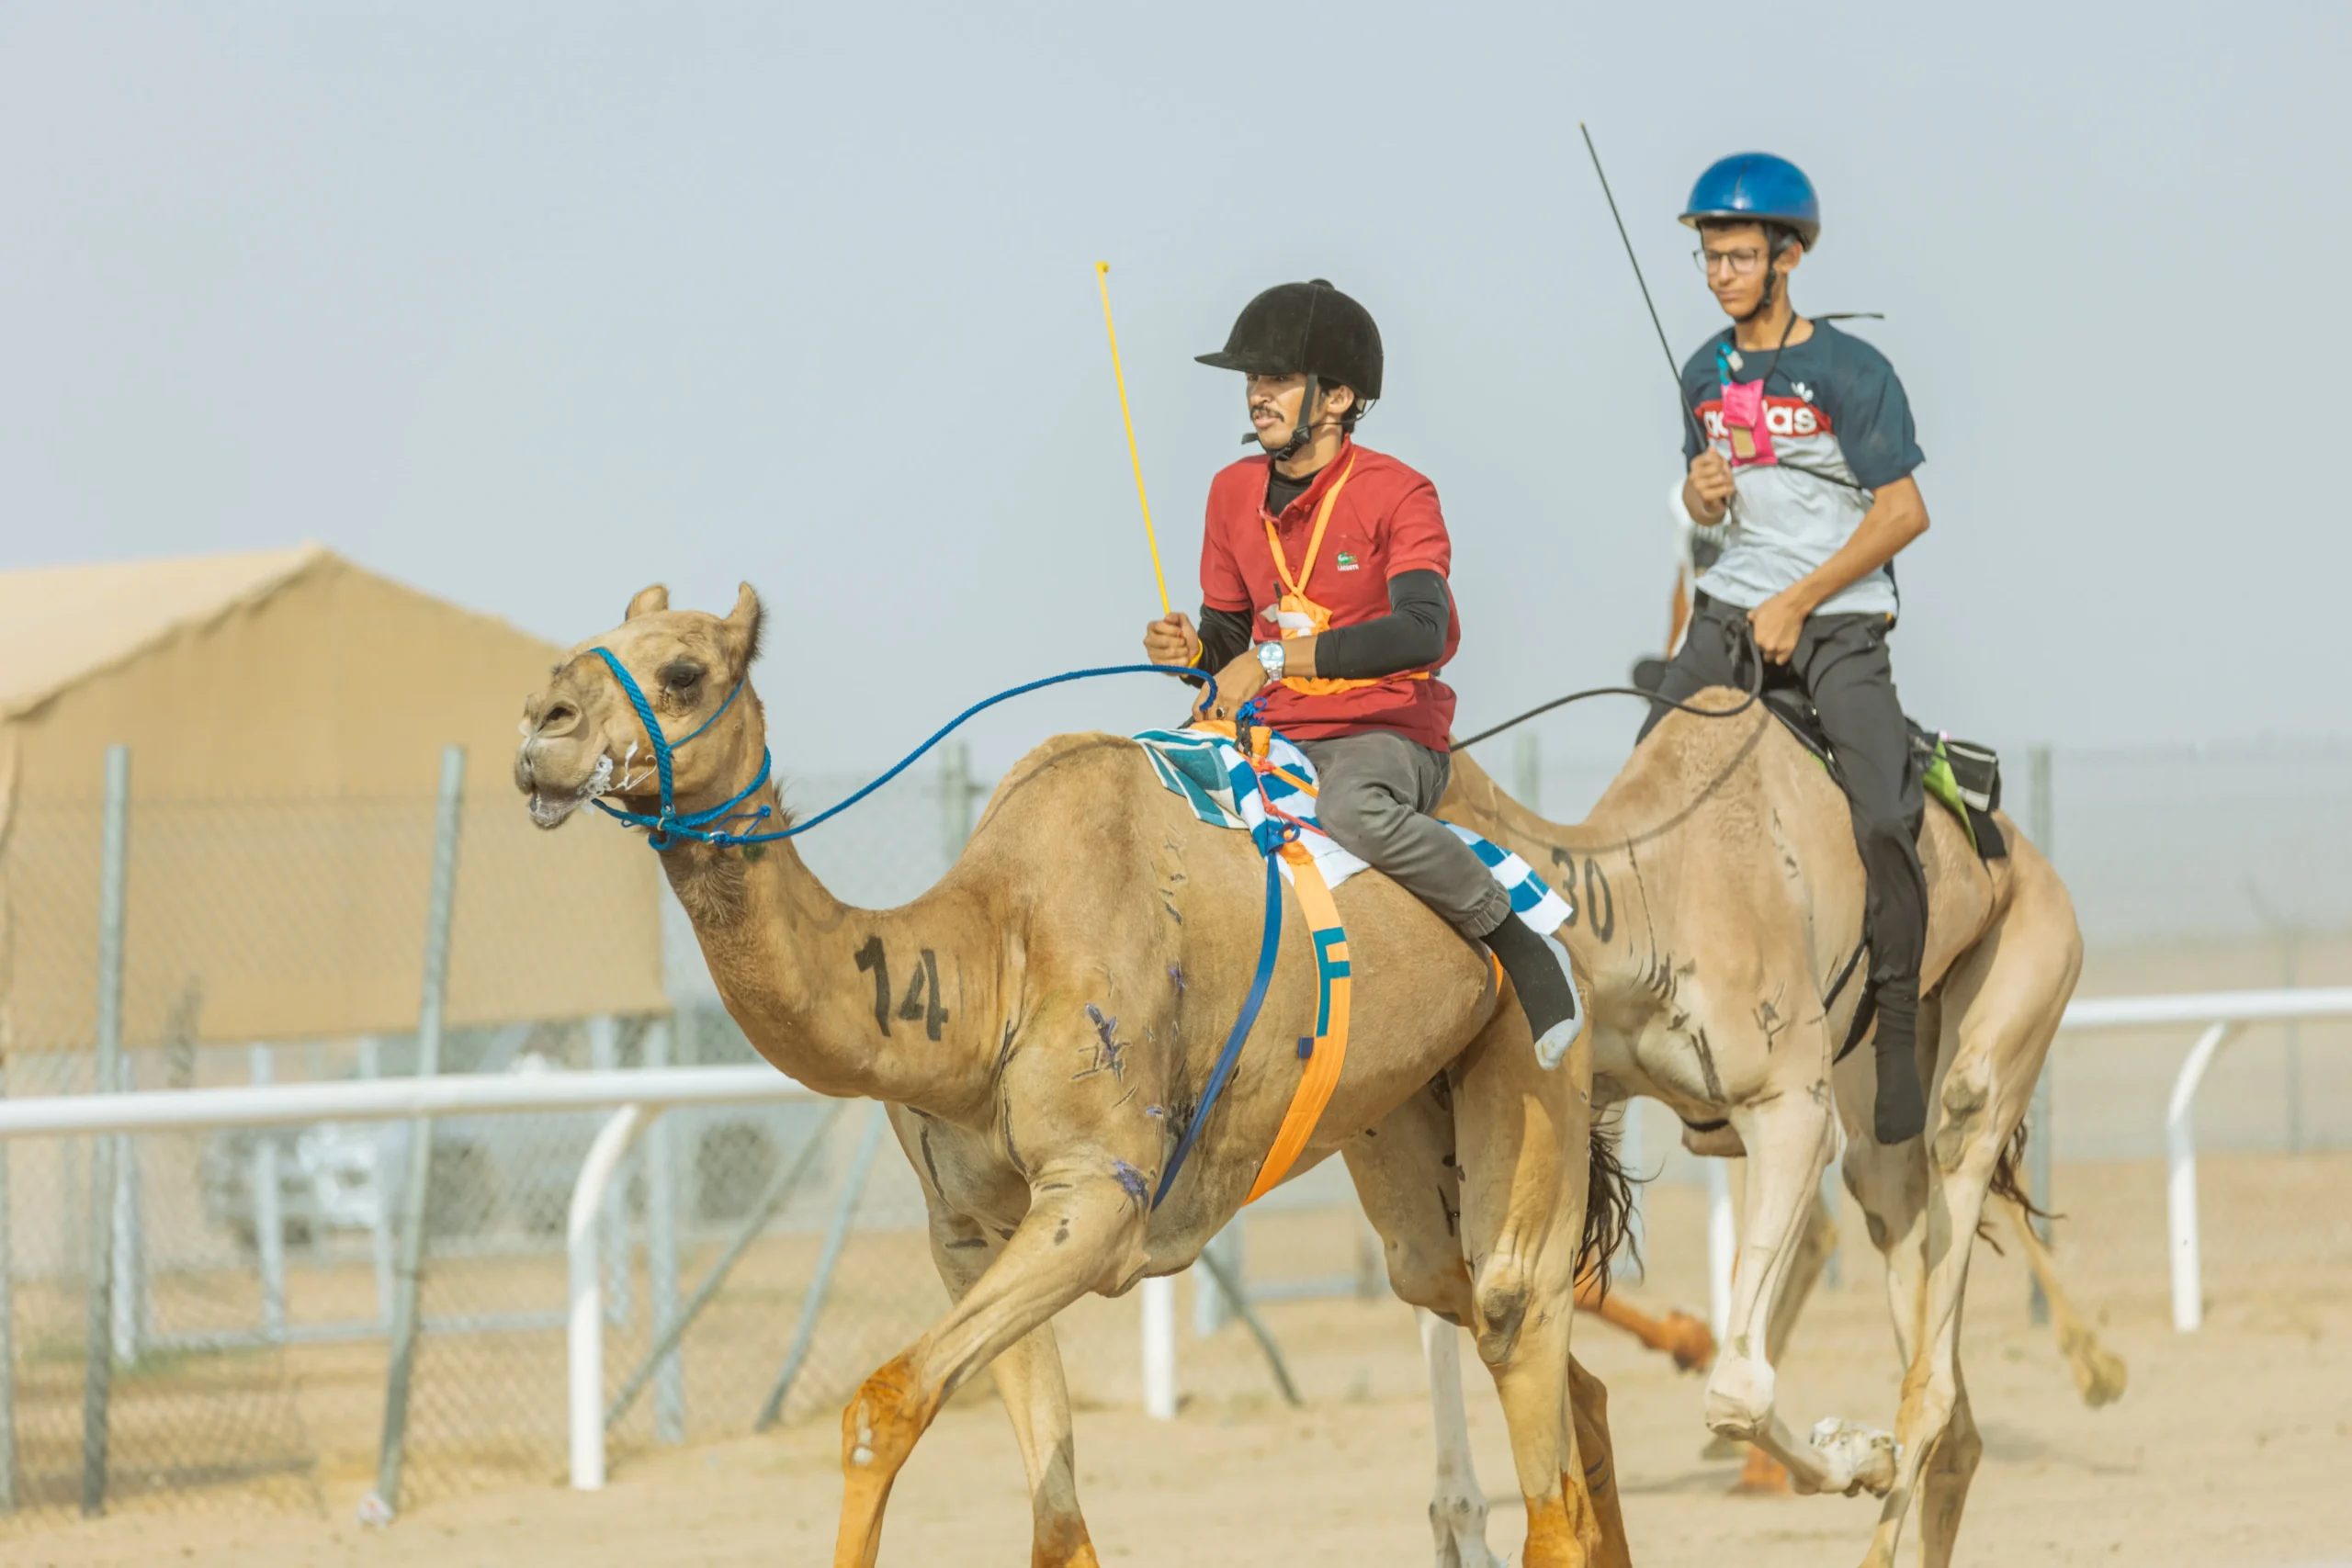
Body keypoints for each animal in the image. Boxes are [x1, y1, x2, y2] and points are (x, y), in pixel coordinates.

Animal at [519, 587, 1636, 1568]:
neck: (986, 968)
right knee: (1510, 1333)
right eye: (584, 645)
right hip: (1404, 1121)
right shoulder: (972, 1233)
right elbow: (1048, 1515)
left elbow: (883, 1407)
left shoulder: (1098, 1196)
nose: (540, 725)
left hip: (1535, 1049)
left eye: (682, 670)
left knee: (1514, 1320)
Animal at [1401, 700, 2088, 1568]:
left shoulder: (1789, 1101)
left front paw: (1852, 1451)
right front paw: (1457, 1520)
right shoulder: (1587, 1089)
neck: (1634, 901)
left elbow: (1736, 1390)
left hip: (2031, 960)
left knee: (1959, 1146)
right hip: (1884, 1078)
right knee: (1907, 1258)